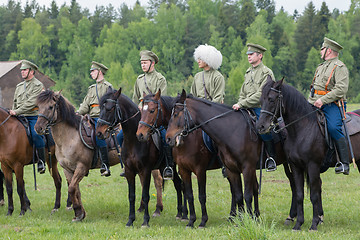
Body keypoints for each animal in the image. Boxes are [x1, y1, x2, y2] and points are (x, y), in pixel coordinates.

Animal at [95, 88, 186, 227]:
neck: (134, 141)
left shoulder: (146, 170)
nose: (99, 132)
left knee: (180, 184)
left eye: (110, 108)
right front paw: (130, 220)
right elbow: (132, 195)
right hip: (162, 167)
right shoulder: (130, 171)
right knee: (178, 184)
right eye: (101, 108)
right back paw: (179, 213)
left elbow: (145, 195)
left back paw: (182, 214)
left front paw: (145, 222)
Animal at [136, 89, 224, 227]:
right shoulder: (183, 169)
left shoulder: (200, 170)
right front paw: (189, 218)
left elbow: (201, 195)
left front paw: (202, 221)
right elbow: (188, 193)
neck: (188, 138)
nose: (140, 134)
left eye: (152, 110)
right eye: (141, 111)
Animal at [255, 79, 360, 231]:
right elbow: (299, 194)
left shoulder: (312, 166)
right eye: (261, 100)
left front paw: (314, 224)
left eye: (271, 99)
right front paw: (298, 224)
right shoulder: (296, 167)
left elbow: (314, 195)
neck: (302, 129)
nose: (261, 126)